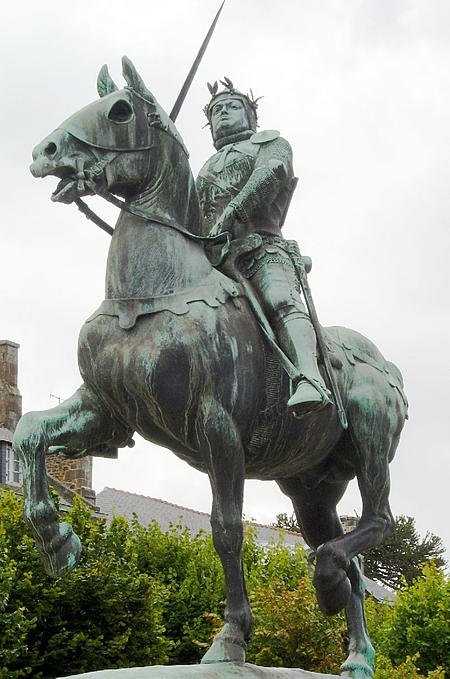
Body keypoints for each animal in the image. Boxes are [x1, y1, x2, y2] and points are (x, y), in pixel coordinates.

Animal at [14, 58, 408, 679]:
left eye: (120, 111)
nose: (45, 151)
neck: (150, 294)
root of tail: (387, 365)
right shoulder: (105, 412)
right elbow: (31, 433)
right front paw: (58, 542)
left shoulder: (217, 426)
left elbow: (226, 530)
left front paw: (230, 638)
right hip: (311, 487)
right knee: (351, 563)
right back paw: (356, 652)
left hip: (370, 443)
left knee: (378, 522)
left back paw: (326, 587)